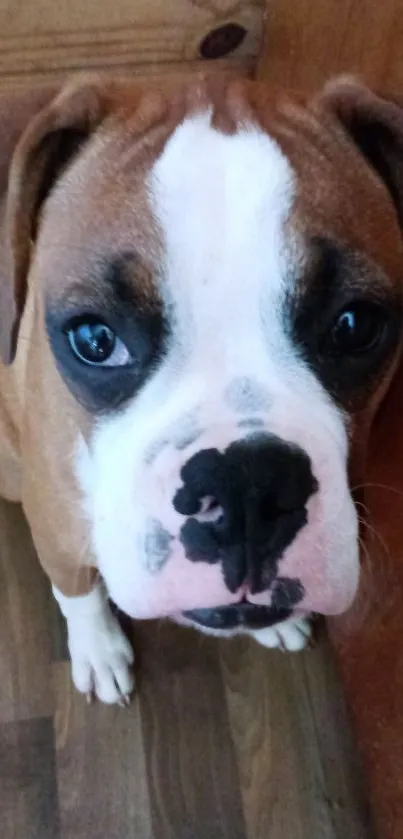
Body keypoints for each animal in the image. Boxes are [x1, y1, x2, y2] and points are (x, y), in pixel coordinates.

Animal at [0, 72, 402, 704]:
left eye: (354, 326)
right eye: (94, 338)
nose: (247, 489)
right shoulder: (56, 521)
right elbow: (78, 590)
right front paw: (99, 649)